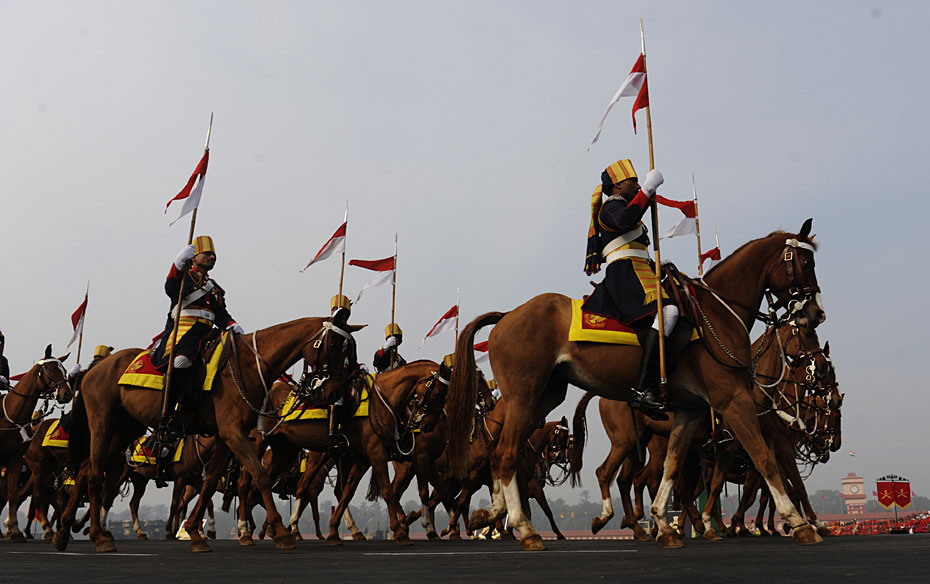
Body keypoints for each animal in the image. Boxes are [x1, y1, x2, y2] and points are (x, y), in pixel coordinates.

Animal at [0, 344, 72, 540]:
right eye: (52, 369)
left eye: (64, 370)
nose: (66, 393)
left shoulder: (15, 459)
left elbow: (12, 494)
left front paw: (14, 530)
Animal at [54, 314, 358, 552]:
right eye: (334, 345)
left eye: (348, 349)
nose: (334, 393)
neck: (249, 365)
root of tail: (94, 370)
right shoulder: (234, 433)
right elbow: (258, 475)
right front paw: (281, 532)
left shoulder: (226, 436)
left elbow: (210, 482)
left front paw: (195, 532)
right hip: (103, 424)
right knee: (95, 474)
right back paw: (98, 536)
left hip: (126, 429)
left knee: (85, 470)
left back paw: (65, 531)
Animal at [446, 218, 824, 548]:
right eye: (806, 261)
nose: (816, 313)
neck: (716, 315)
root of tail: (507, 315)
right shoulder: (733, 401)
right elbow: (764, 458)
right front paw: (799, 522)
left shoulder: (691, 411)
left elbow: (671, 466)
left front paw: (662, 523)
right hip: (527, 397)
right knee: (508, 454)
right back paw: (525, 529)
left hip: (543, 398)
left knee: (501, 453)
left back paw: (491, 514)